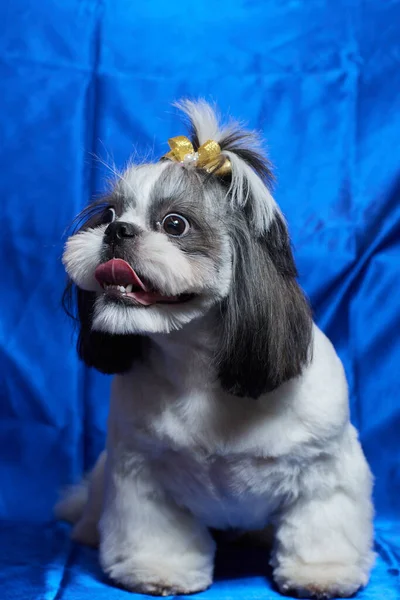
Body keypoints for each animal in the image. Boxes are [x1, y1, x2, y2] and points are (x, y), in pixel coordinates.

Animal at [57, 101, 376, 596]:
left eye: (175, 224)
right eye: (108, 214)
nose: (118, 231)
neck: (199, 368)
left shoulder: (326, 468)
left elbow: (322, 523)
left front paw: (321, 573)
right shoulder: (139, 470)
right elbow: (153, 530)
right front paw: (157, 571)